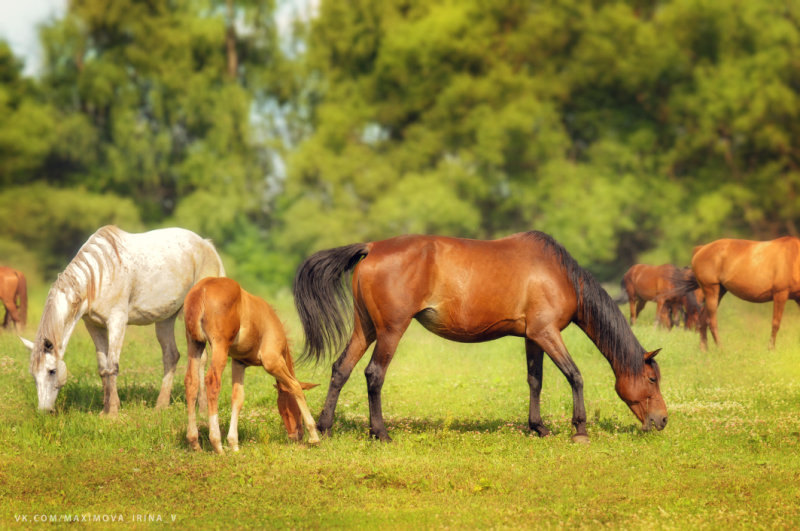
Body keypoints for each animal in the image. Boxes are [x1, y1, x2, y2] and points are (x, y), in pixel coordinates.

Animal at [21, 224, 225, 416]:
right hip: (165, 319)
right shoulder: (94, 326)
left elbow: (113, 365)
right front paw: (106, 409)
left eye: (52, 371)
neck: (99, 275)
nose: (44, 411)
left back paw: (202, 408)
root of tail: (207, 245)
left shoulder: (117, 321)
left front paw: (112, 412)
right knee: (171, 356)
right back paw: (161, 406)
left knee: (201, 358)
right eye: (33, 375)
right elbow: (103, 367)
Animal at [184, 276, 318, 456]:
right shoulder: (272, 362)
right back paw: (217, 444)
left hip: (195, 343)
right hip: (219, 346)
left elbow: (238, 398)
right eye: (294, 407)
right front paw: (314, 435)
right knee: (212, 381)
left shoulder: (239, 362)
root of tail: (202, 289)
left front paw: (234, 443)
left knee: (191, 383)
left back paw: (194, 442)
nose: (296, 436)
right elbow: (295, 385)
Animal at [294, 231, 668, 442]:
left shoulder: (533, 337)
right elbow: (574, 375)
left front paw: (538, 427)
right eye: (651, 379)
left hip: (366, 328)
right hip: (390, 330)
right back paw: (381, 433)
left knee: (341, 369)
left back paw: (325, 428)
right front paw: (580, 430)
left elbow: (535, 380)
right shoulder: (547, 333)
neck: (559, 274)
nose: (662, 420)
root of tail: (372, 247)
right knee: (374, 374)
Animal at [672, 236, 800, 350]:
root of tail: (701, 249)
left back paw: (704, 350)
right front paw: (771, 349)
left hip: (719, 291)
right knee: (711, 321)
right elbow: (775, 323)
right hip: (711, 290)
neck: (794, 258)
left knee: (703, 320)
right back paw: (721, 349)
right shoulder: (780, 294)